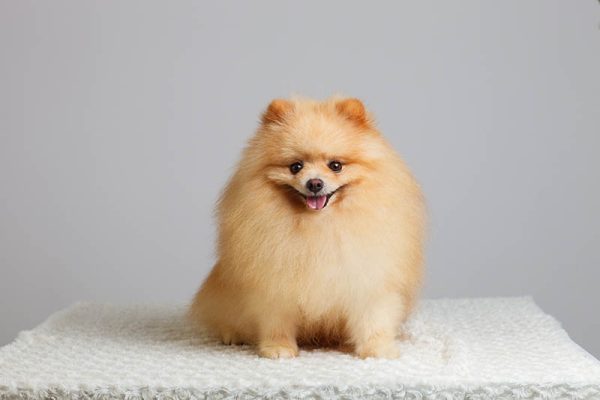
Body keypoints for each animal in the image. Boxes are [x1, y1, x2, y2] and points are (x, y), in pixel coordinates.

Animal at [188, 97, 426, 360]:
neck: (319, 225)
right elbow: (276, 322)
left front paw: (378, 349)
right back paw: (232, 335)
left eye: (336, 165)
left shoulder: (368, 279)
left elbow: (374, 319)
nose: (314, 183)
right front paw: (279, 348)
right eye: (295, 166)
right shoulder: (274, 284)